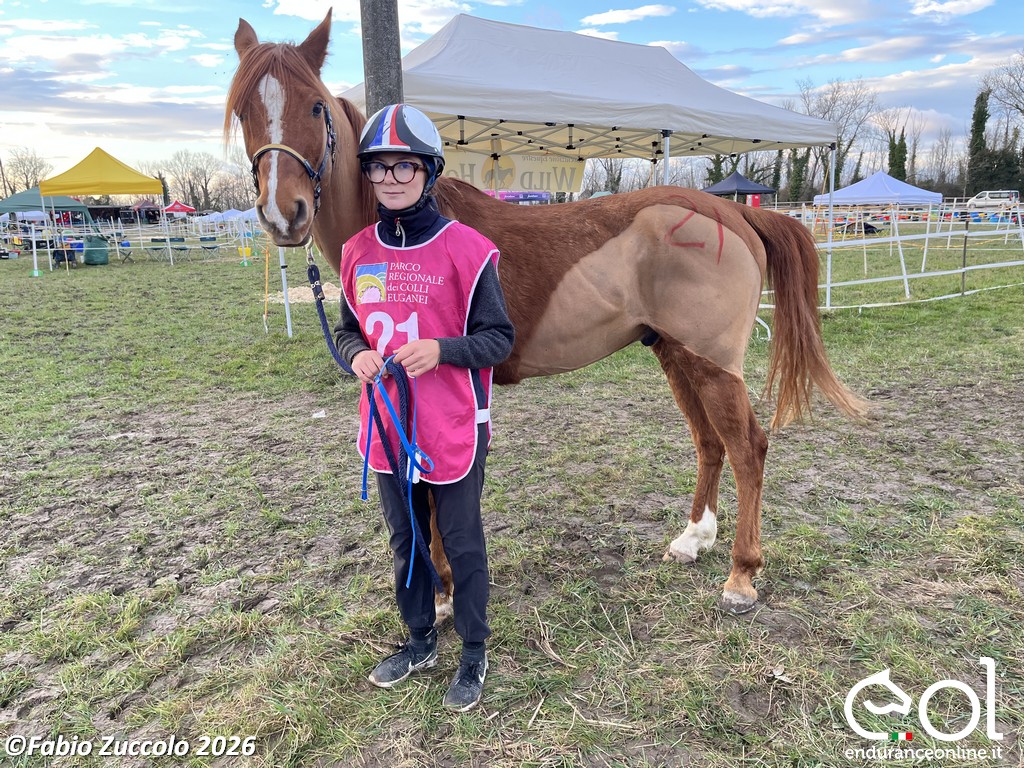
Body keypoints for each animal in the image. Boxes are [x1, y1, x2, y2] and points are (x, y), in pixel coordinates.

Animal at [226, 11, 867, 615]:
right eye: (245, 112)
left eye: (314, 105)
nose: (284, 213)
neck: (409, 228)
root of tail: (732, 213)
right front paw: (440, 592)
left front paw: (443, 593)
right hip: (677, 353)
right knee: (709, 442)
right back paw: (692, 539)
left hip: (712, 363)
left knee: (747, 448)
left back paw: (741, 575)